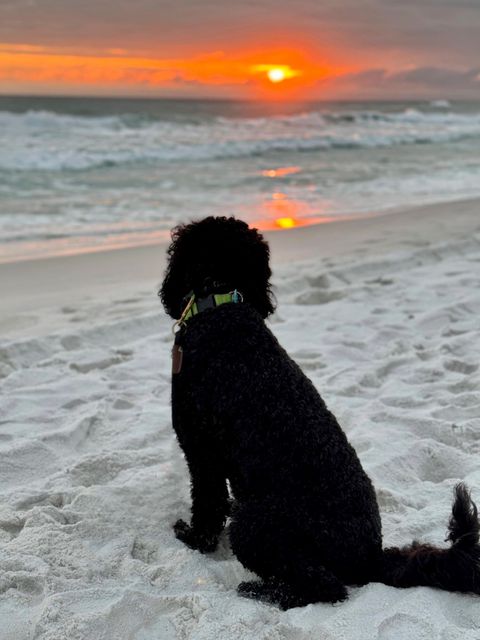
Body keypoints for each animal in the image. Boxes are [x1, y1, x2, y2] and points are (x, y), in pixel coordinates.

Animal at [160, 216, 480, 608]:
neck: (219, 305)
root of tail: (370, 556)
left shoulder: (200, 451)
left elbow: (207, 503)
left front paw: (193, 538)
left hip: (255, 523)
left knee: (326, 586)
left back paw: (265, 591)